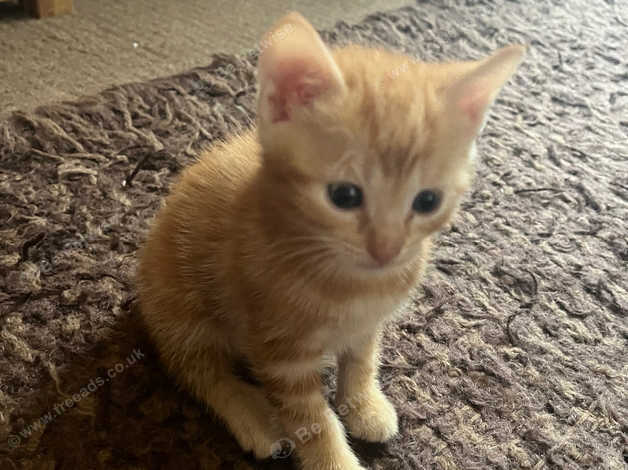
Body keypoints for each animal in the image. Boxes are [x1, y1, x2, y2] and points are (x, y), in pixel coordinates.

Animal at [136, 11, 524, 470]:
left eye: (428, 201)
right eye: (344, 196)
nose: (387, 250)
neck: (353, 281)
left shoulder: (368, 323)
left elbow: (361, 360)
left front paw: (363, 404)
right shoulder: (281, 356)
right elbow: (313, 421)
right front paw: (334, 458)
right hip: (180, 309)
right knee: (198, 371)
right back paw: (252, 415)